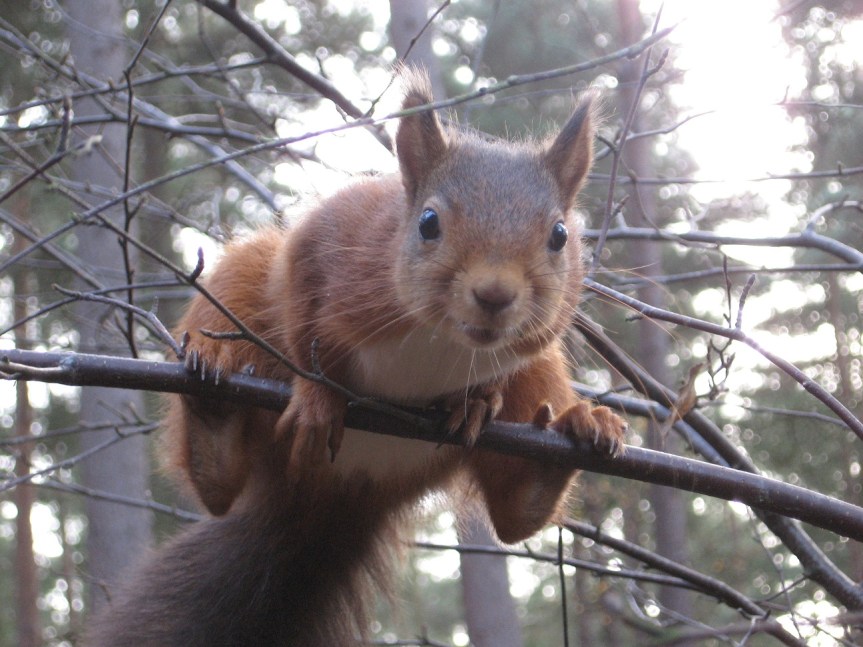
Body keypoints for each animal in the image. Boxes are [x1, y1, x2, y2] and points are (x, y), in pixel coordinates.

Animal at [84, 70, 626, 647]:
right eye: (427, 222)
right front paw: (319, 398)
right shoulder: (330, 242)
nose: (495, 294)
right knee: (217, 487)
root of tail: (337, 493)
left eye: (560, 235)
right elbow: (304, 320)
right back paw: (215, 402)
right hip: (239, 287)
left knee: (516, 513)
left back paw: (570, 437)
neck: (444, 340)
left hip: (538, 374)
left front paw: (477, 396)